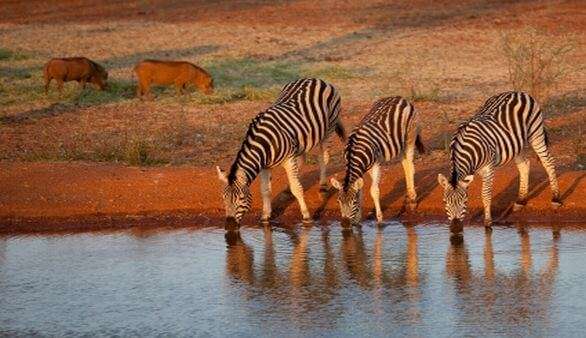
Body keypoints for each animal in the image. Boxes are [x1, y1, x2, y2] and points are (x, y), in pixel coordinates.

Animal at [214, 78, 342, 228]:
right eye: (224, 198)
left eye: (241, 198)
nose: (229, 226)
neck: (264, 143)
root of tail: (315, 79)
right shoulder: (264, 166)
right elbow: (265, 191)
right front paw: (265, 216)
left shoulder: (288, 159)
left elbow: (297, 188)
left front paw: (306, 216)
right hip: (301, 139)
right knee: (302, 160)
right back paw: (288, 187)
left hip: (329, 129)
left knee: (323, 158)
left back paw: (322, 185)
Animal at [328, 96, 424, 227]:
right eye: (338, 201)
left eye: (353, 202)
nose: (345, 224)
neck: (354, 152)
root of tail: (400, 98)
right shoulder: (363, 169)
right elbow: (361, 191)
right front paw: (358, 220)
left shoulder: (376, 165)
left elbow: (374, 191)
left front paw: (379, 219)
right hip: (399, 143)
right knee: (405, 163)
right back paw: (410, 195)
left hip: (410, 136)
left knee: (410, 165)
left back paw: (413, 200)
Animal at [438, 91, 560, 231]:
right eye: (444, 202)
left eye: (464, 201)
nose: (455, 227)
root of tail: (518, 92)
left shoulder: (488, 169)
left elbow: (485, 194)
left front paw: (488, 223)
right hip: (517, 143)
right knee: (524, 165)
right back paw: (520, 201)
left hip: (536, 133)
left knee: (548, 162)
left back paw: (556, 199)